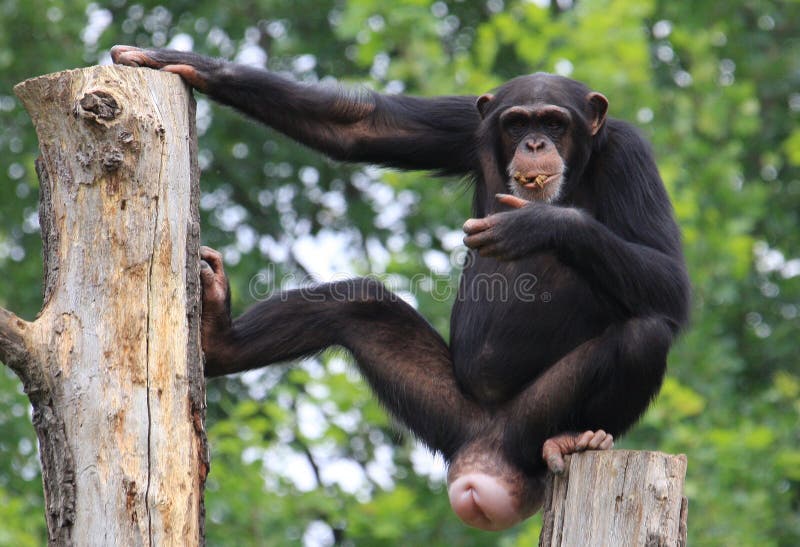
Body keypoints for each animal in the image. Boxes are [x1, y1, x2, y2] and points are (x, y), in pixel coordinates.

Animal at [111, 45, 688, 532]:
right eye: (517, 122)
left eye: (554, 121)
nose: (535, 143)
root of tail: (483, 461)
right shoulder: (468, 124)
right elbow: (358, 126)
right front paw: (192, 64)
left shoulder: (631, 155)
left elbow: (670, 280)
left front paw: (535, 225)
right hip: (444, 413)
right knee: (360, 305)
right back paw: (218, 337)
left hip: (532, 421)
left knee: (646, 333)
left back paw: (577, 438)